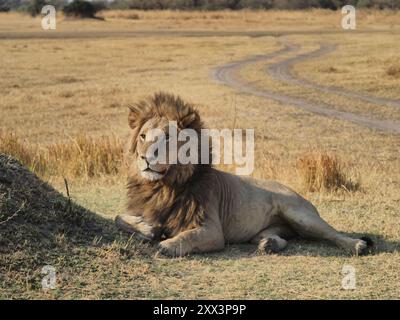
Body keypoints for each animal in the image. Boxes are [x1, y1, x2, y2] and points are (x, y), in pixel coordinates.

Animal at [114, 91, 374, 256]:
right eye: (143, 136)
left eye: (167, 137)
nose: (145, 158)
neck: (162, 186)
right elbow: (119, 218)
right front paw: (147, 228)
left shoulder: (212, 230)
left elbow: (187, 237)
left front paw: (166, 244)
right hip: (266, 230)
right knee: (278, 238)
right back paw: (269, 244)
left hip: (301, 215)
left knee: (332, 233)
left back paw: (357, 246)